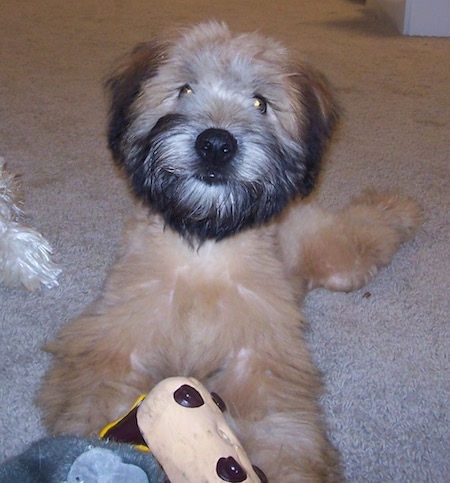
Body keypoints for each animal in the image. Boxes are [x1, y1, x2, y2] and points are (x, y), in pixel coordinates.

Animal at [38, 21, 422, 480]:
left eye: (260, 102)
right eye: (184, 89)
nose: (216, 145)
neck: (203, 253)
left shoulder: (258, 360)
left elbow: (282, 434)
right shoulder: (115, 344)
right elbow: (96, 407)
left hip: (335, 258)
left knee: (365, 228)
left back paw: (399, 207)